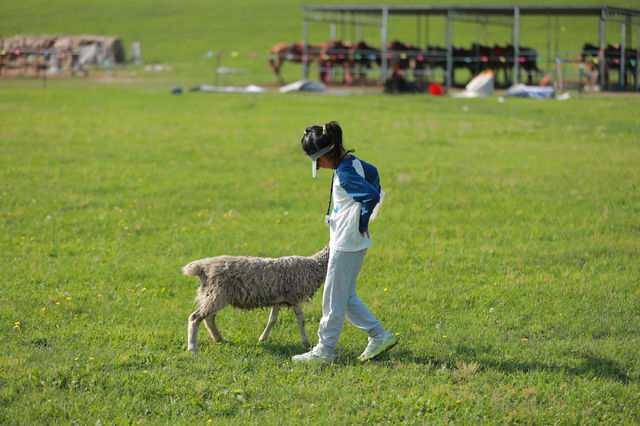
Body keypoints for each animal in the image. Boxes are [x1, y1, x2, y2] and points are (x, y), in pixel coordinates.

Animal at [181, 245, 328, 354]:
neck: (314, 266)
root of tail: (202, 266)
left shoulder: (277, 300)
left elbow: (272, 319)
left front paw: (263, 338)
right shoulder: (295, 297)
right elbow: (301, 320)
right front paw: (306, 342)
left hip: (213, 296)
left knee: (209, 318)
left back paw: (218, 339)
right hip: (216, 295)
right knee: (195, 317)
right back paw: (192, 348)